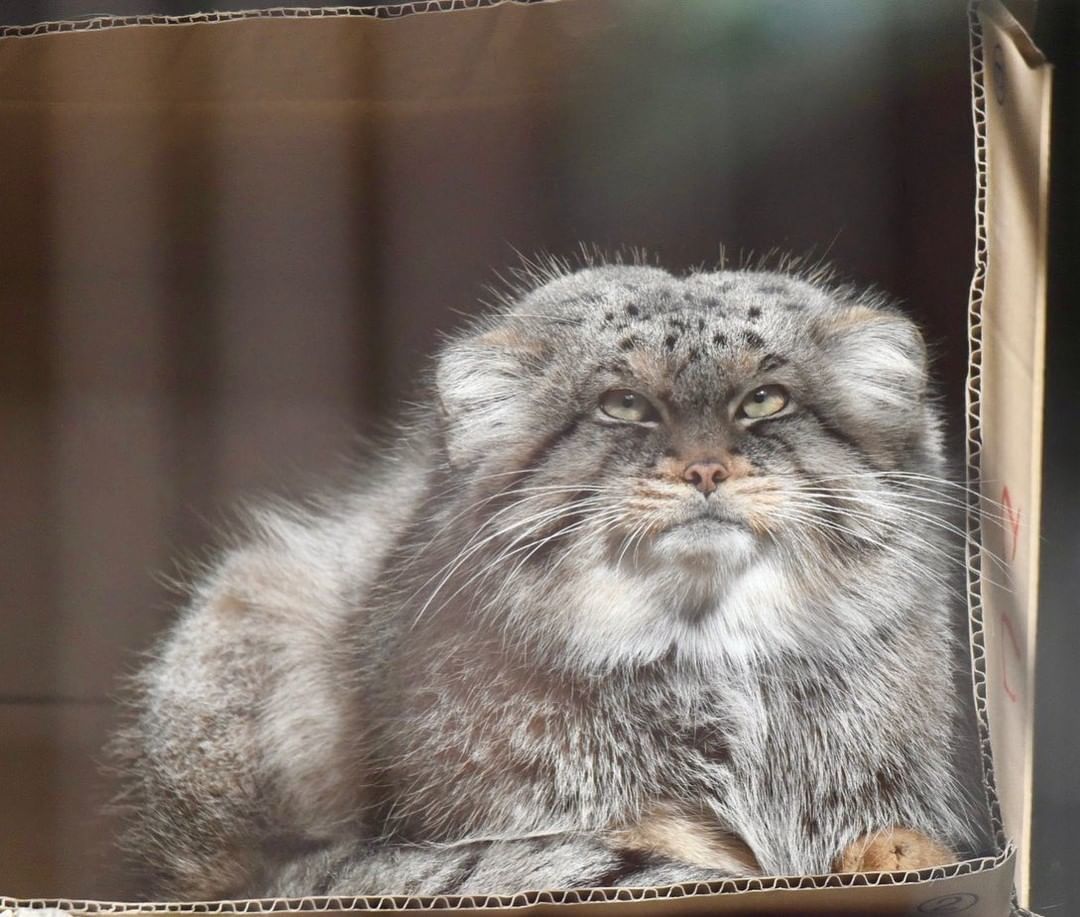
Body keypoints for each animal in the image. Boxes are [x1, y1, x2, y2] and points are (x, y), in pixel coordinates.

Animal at [111, 259, 989, 902]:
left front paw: (896, 855)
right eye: (624, 405)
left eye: (764, 400)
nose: (705, 468)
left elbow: (892, 839)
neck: (711, 664)